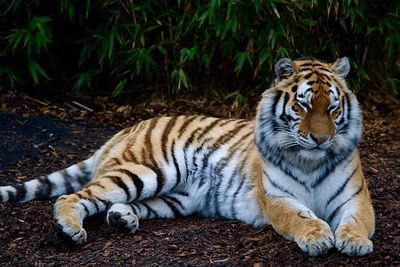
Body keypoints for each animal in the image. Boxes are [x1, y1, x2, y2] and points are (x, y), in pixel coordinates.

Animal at [0, 57, 376, 258]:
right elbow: (301, 217)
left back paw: (122, 220)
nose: (321, 139)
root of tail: (124, 129)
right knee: (73, 196)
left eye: (332, 107)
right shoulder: (278, 198)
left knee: (115, 205)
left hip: (177, 198)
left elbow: (357, 221)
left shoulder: (356, 199)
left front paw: (355, 242)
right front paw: (318, 236)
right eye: (302, 106)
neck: (311, 160)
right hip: (147, 171)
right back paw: (70, 230)